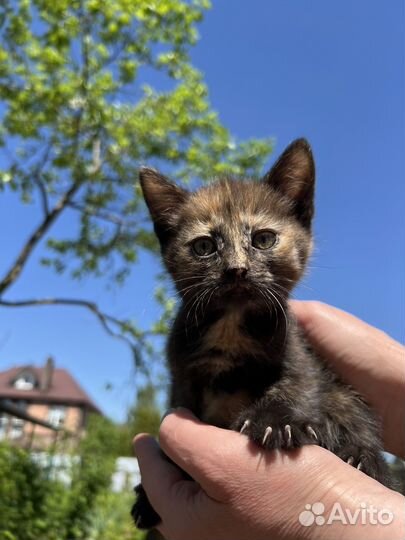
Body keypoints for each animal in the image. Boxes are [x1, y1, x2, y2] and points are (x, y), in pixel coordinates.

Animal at [133, 137, 392, 528]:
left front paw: (275, 423)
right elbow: (178, 414)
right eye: (204, 246)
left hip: (343, 395)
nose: (236, 270)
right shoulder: (181, 378)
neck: (231, 324)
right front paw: (149, 496)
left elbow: (298, 383)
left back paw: (361, 457)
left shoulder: (299, 352)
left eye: (264, 239)